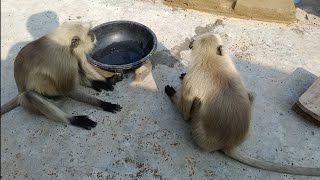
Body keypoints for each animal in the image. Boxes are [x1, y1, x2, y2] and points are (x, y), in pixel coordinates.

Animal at [165, 32, 320, 176]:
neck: (211, 57)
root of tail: (231, 143)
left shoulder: (191, 82)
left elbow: (185, 112)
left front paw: (172, 93)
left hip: (202, 136)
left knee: (196, 110)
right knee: (251, 94)